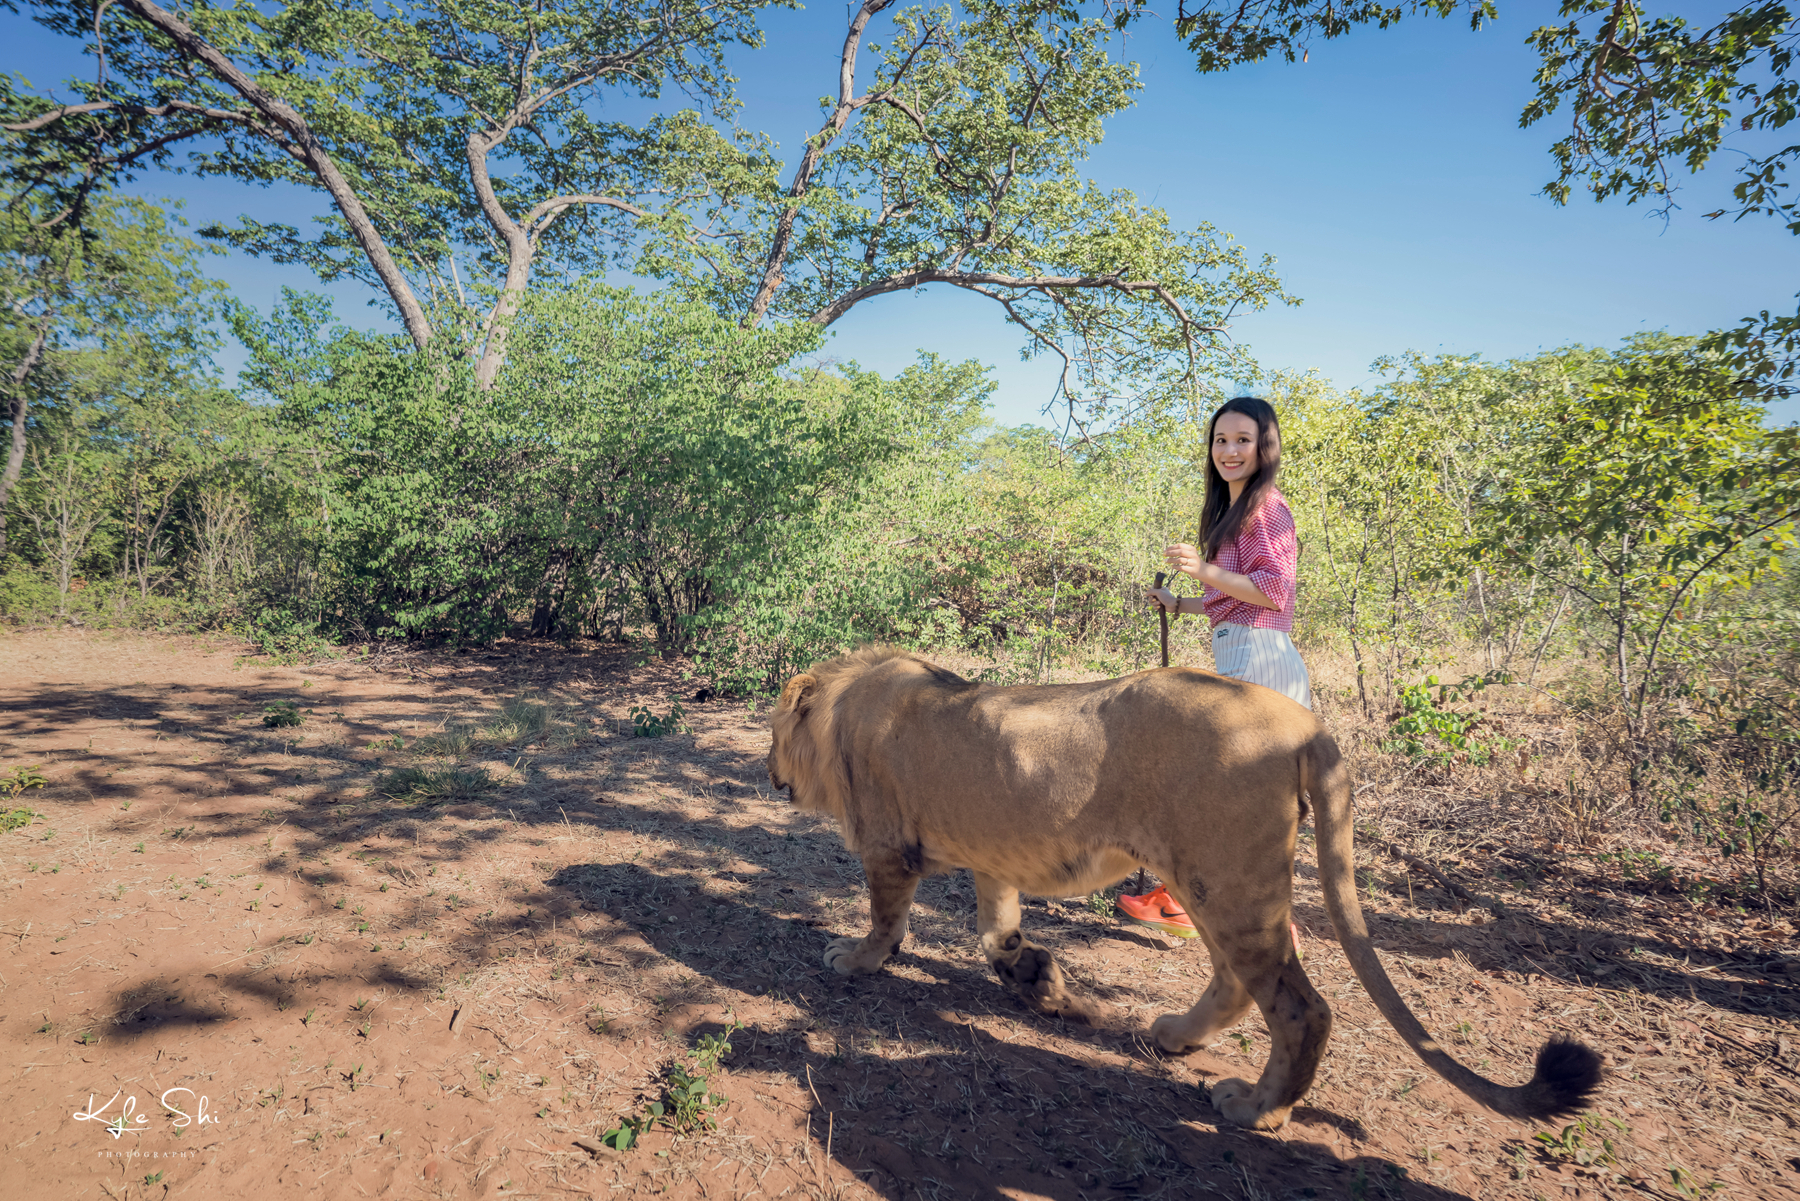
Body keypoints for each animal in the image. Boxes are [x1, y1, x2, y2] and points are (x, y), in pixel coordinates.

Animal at [763, 648, 1605, 1130]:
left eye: (771, 732)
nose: (768, 771)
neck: (845, 702)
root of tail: (1305, 723)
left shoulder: (886, 846)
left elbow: (886, 916)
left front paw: (853, 958)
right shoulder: (994, 854)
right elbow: (996, 934)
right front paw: (1042, 983)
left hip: (1222, 877)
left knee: (1302, 1005)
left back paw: (1256, 1107)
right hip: (1211, 879)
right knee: (1238, 980)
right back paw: (1174, 1036)